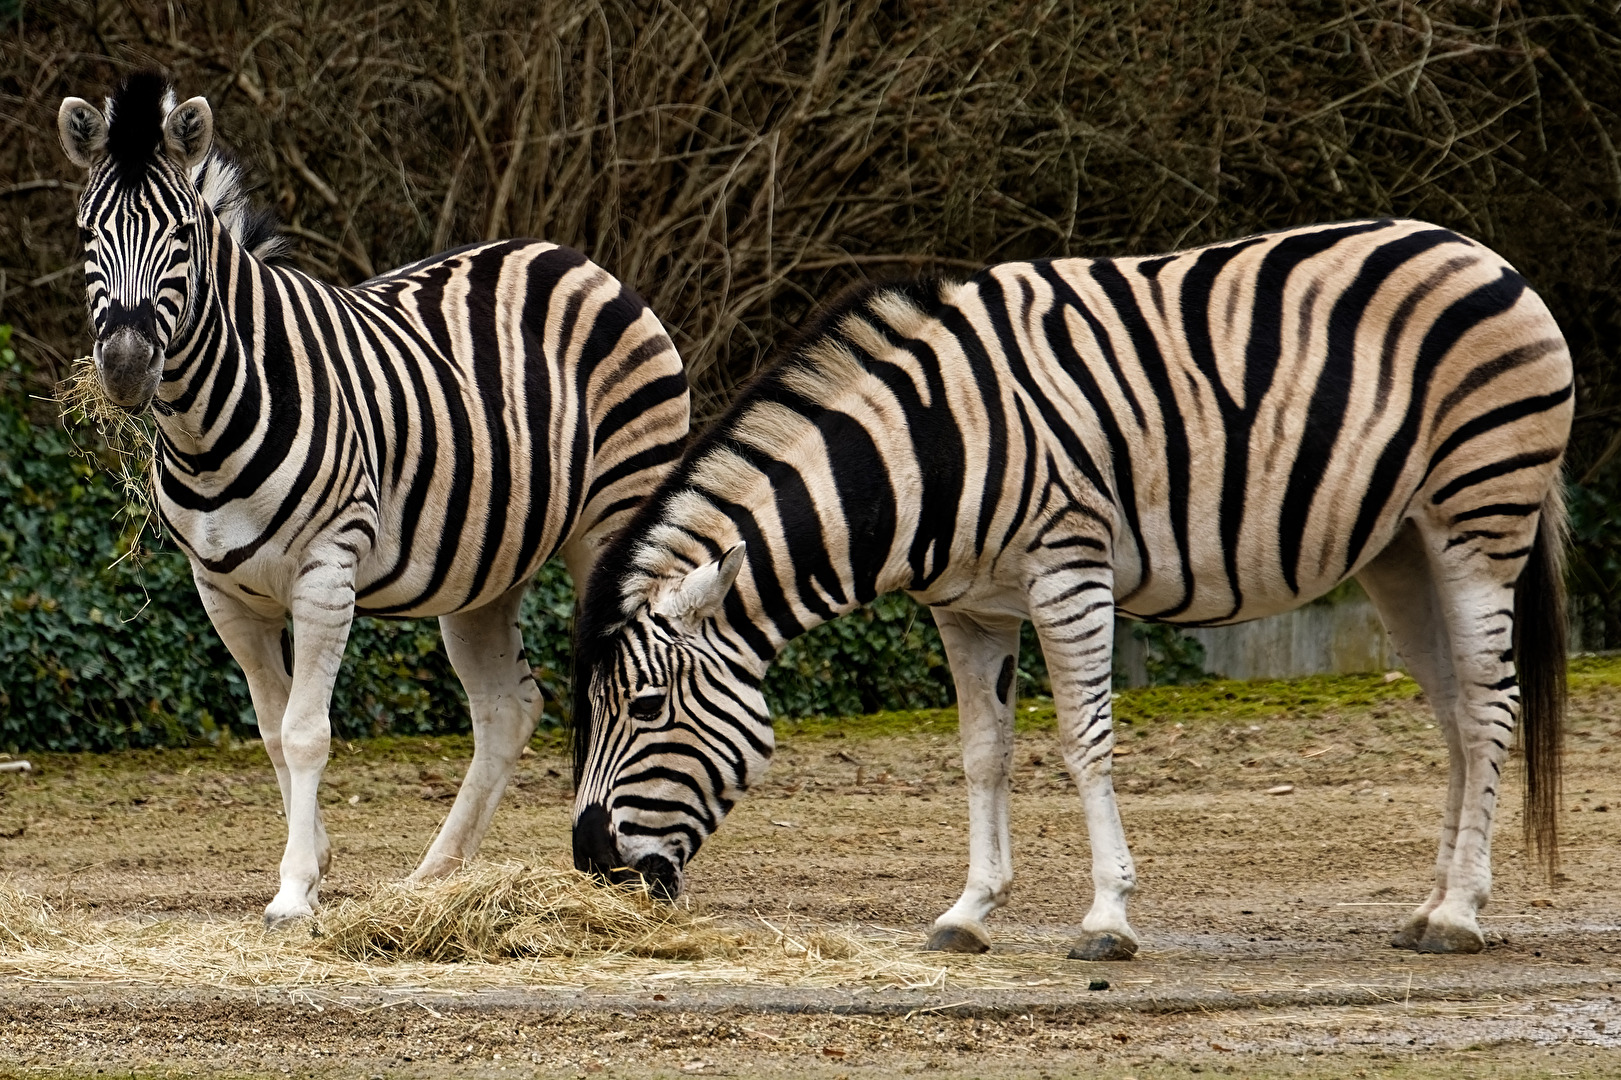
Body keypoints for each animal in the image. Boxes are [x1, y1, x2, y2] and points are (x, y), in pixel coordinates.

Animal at [58, 72, 690, 926]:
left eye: (182, 234)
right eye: (89, 232)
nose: (124, 367)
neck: (210, 418)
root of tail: (575, 258)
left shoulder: (327, 572)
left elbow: (306, 731)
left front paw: (295, 891)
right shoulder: (222, 590)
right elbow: (270, 727)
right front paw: (316, 860)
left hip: (613, 521)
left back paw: (610, 872)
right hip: (487, 564)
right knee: (508, 707)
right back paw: (435, 877)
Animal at [571, 217, 1572, 958]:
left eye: (647, 706)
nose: (591, 866)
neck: (925, 454)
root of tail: (1475, 248)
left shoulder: (1068, 569)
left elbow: (1084, 743)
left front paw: (1106, 920)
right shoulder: (966, 608)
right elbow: (982, 753)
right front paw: (967, 913)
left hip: (1479, 516)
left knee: (1491, 703)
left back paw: (1460, 915)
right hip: (1398, 548)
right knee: (1454, 709)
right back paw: (1431, 906)